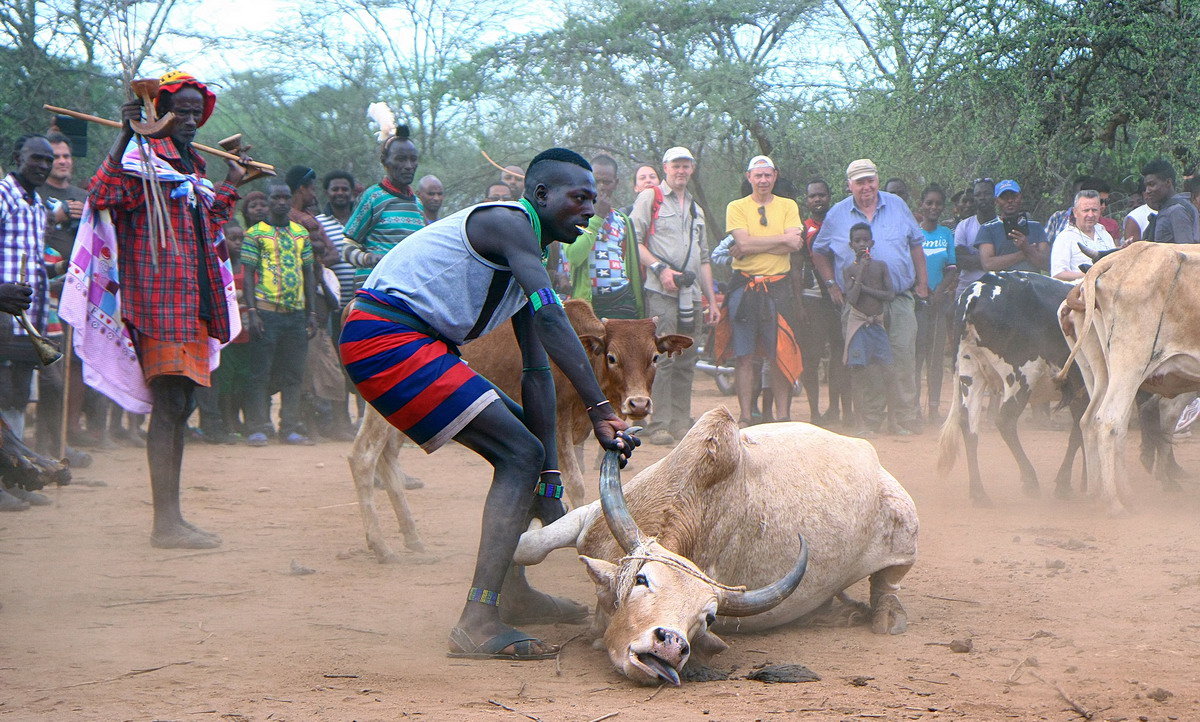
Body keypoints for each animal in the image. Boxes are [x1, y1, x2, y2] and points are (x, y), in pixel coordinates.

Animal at [343, 297, 691, 561]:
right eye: (612, 357)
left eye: (654, 357)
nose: (638, 404)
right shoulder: (558, 425)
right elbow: (576, 483)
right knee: (363, 457)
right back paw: (382, 547)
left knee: (387, 456)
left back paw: (412, 538)